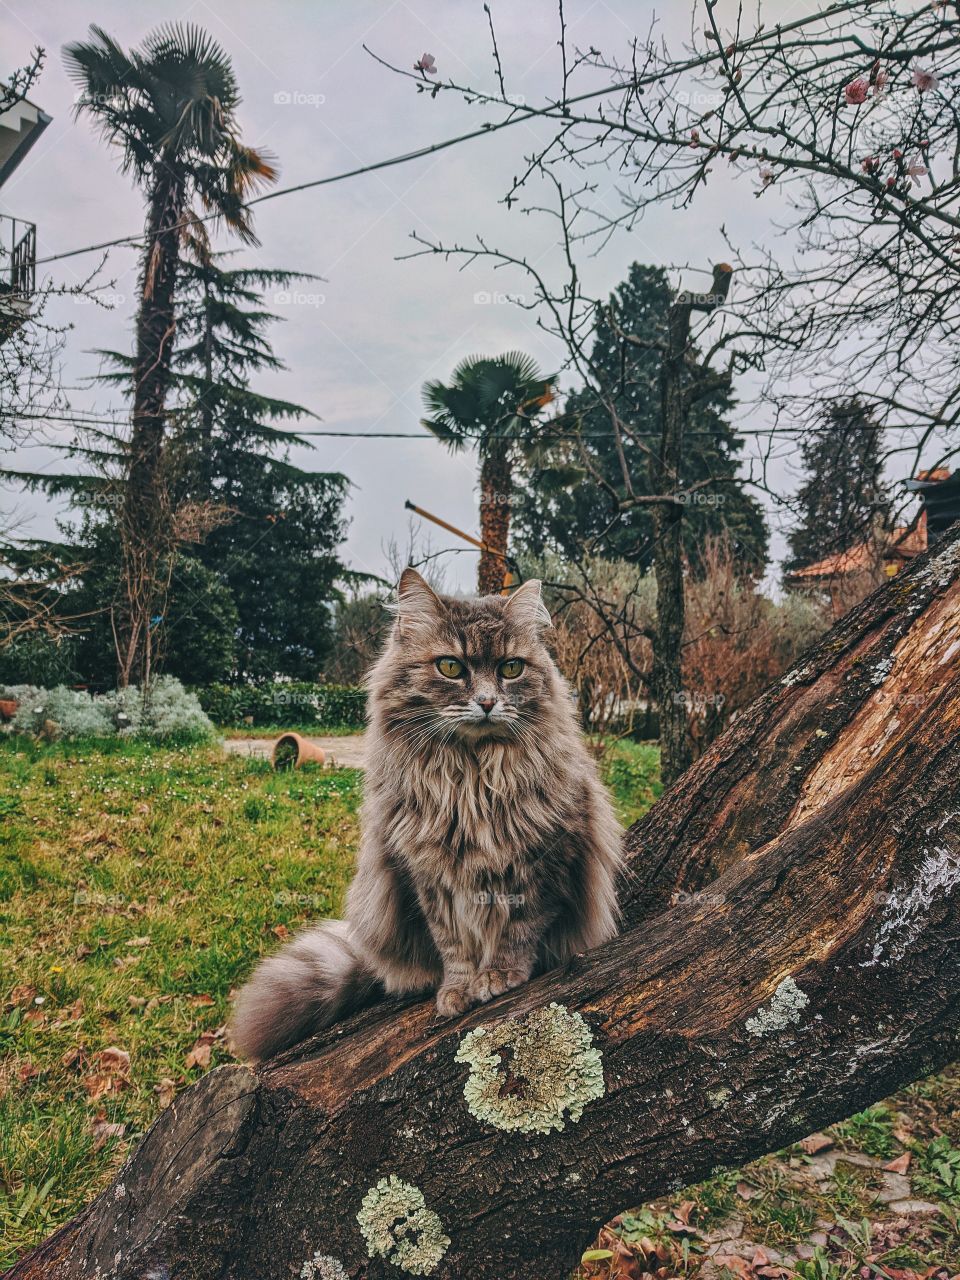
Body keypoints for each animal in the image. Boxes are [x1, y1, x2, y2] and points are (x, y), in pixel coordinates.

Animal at [231, 570, 624, 1059]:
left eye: (511, 669)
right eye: (451, 667)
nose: (488, 702)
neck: (472, 781)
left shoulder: (547, 860)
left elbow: (520, 927)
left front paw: (500, 976)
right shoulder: (427, 875)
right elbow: (453, 944)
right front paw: (457, 990)